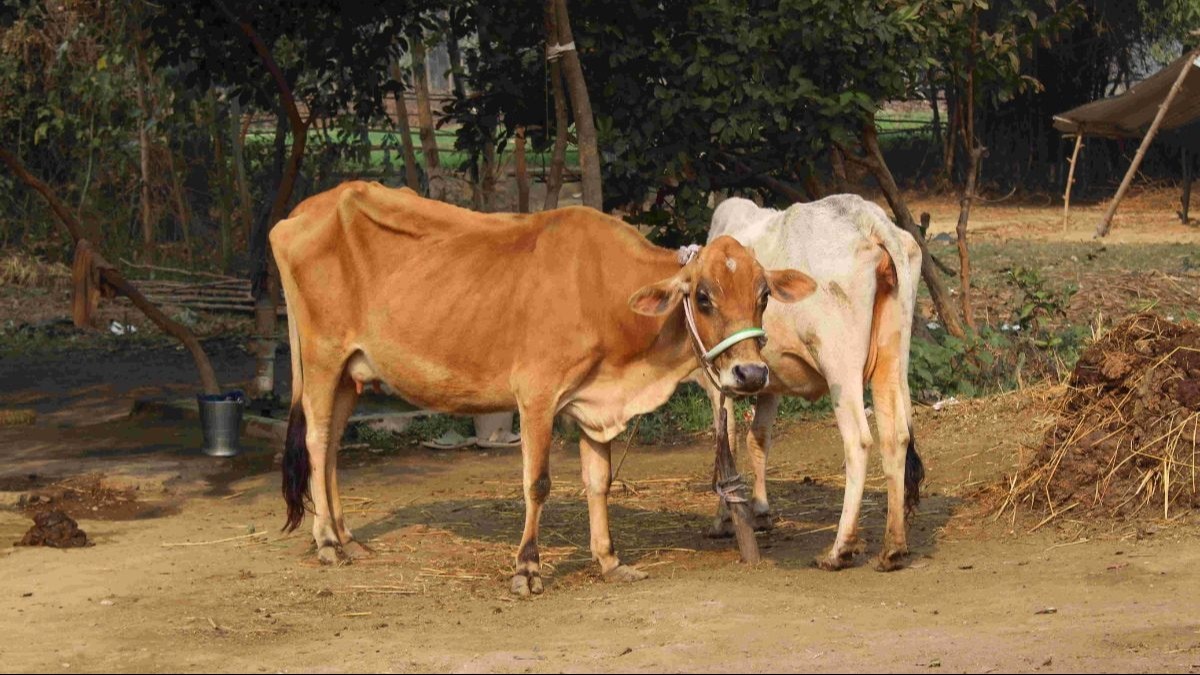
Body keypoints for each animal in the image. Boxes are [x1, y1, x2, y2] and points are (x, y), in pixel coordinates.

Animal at [270, 182, 815, 595]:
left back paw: (347, 538)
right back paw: (326, 542)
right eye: (702, 297)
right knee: (316, 440)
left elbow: (599, 482)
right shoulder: (535, 393)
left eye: (763, 295)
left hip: (352, 371)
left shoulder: (596, 403)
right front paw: (527, 568)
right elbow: (538, 483)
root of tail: (300, 212)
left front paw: (610, 560)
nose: (751, 375)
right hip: (321, 357)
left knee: (332, 445)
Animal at [698, 195, 925, 572]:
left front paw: (723, 520)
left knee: (858, 441)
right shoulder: (766, 379)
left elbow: (725, 443)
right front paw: (761, 512)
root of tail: (870, 219)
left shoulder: (719, 378)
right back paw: (892, 547)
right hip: (892, 357)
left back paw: (839, 550)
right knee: (896, 436)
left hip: (840, 365)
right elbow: (758, 438)